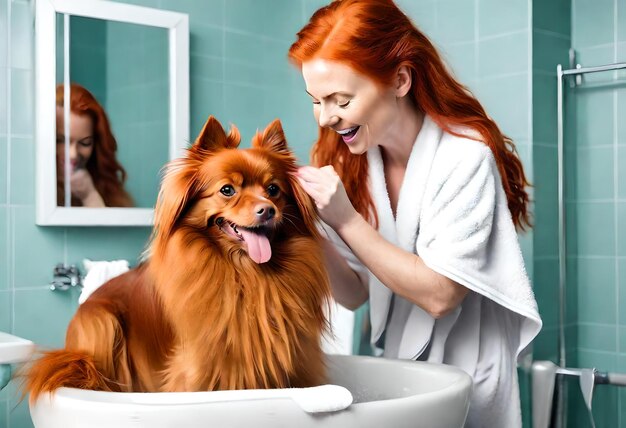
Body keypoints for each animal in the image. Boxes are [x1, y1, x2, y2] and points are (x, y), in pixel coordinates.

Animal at [23, 114, 332, 402]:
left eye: (273, 190)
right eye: (227, 190)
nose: (267, 210)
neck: (245, 272)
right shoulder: (197, 368)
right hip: (100, 322)